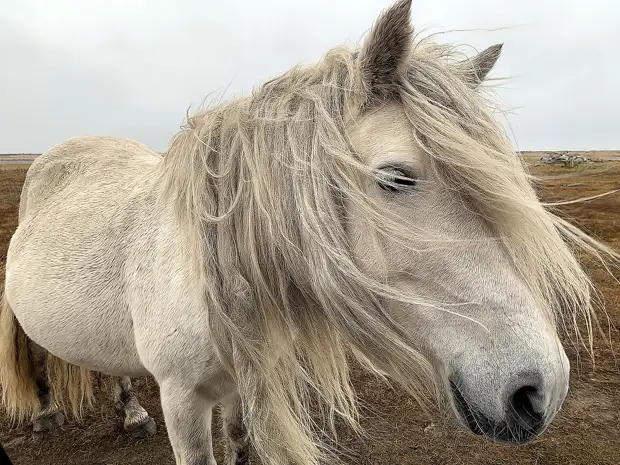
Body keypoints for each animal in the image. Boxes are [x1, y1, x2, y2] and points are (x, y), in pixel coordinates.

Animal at [0, 0, 616, 464]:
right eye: (396, 177)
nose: (542, 390)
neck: (211, 273)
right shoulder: (183, 401)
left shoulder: (241, 384)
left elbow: (242, 446)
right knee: (37, 357)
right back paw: (48, 413)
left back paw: (130, 412)